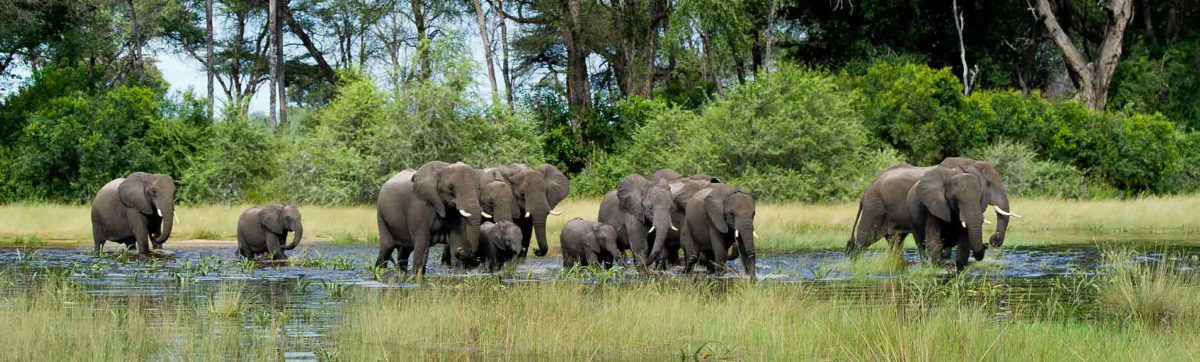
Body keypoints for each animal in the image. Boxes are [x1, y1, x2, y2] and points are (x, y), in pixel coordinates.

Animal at [844, 158, 1022, 257]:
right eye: (989, 184)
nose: (992, 240)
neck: (968, 163)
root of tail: (865, 192)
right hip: (874, 209)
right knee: (863, 242)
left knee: (895, 243)